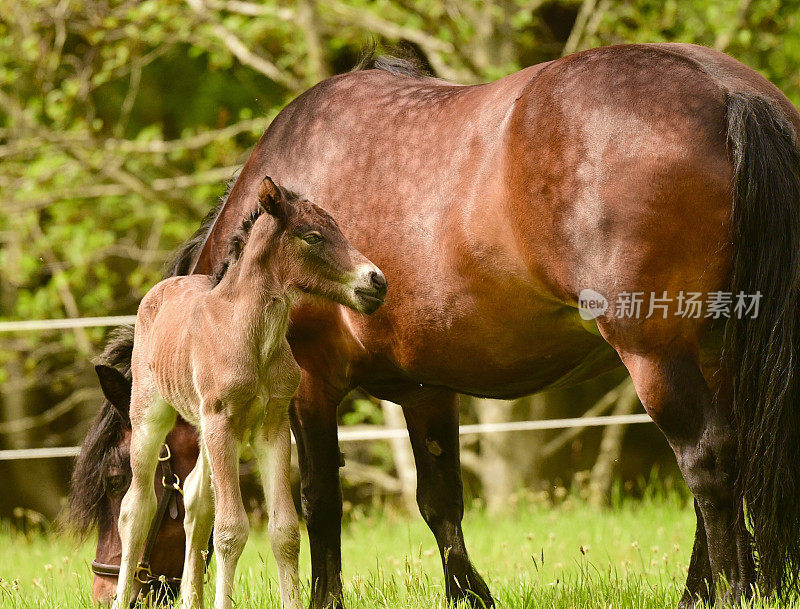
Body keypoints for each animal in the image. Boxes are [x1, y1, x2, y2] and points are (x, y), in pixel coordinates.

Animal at [72, 44, 800, 608]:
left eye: (117, 480)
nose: (108, 587)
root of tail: (728, 91)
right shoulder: (426, 391)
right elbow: (440, 500)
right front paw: (469, 594)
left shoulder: (308, 391)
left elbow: (319, 502)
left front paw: (325, 596)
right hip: (714, 352)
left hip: (657, 352)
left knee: (708, 461)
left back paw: (730, 592)